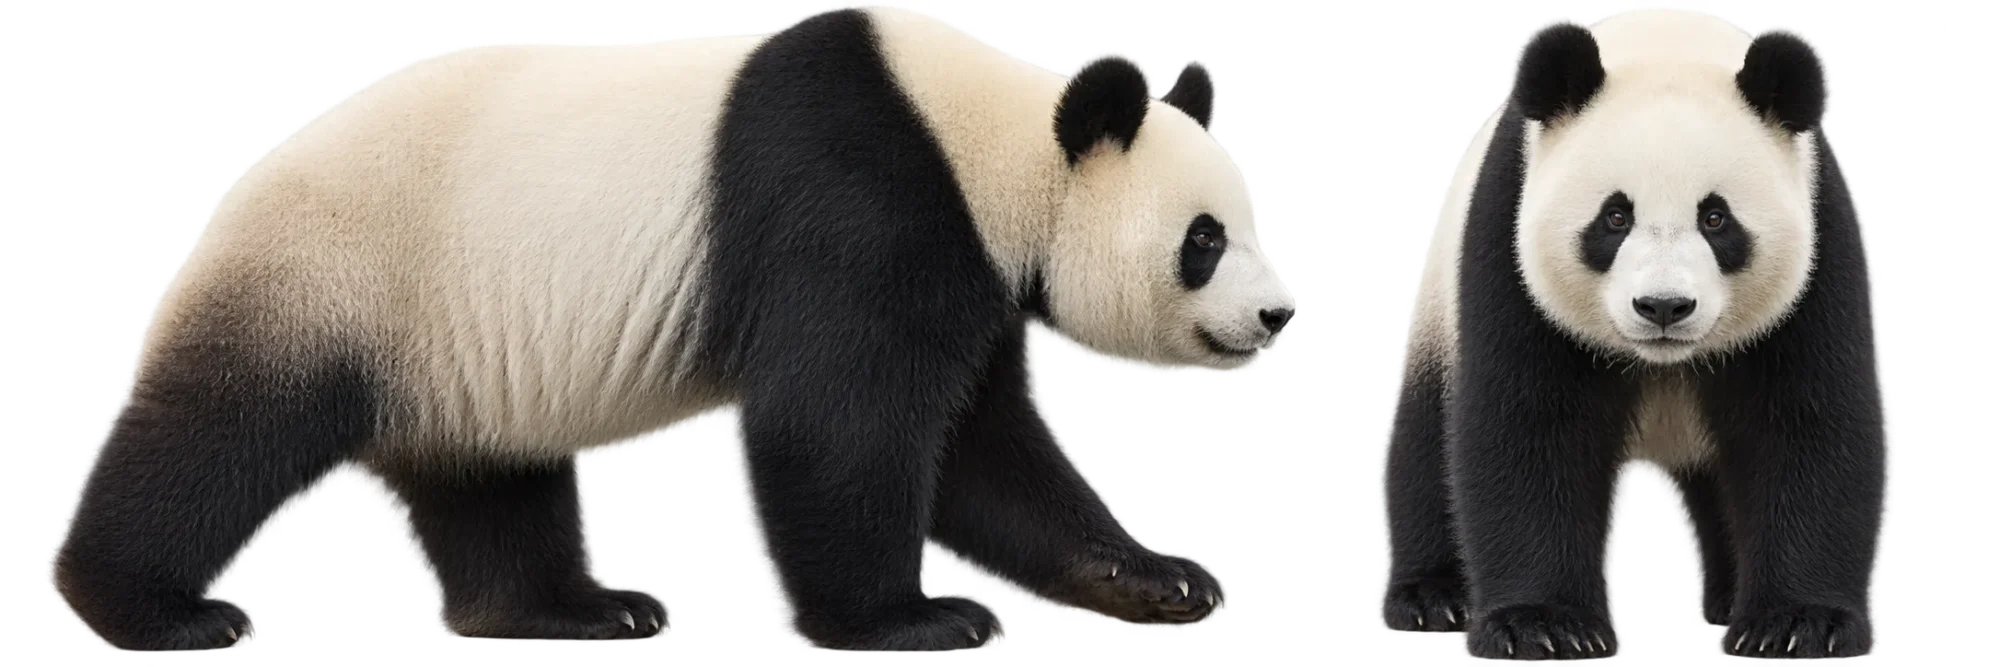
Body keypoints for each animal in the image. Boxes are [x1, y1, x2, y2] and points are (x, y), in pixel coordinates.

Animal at [46, 1, 1297, 654]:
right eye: (1201, 240)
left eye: (1253, 222)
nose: (1277, 314)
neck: (984, 135)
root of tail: (231, 193)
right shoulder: (860, 201)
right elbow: (835, 429)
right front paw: (912, 618)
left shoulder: (971, 274)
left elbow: (989, 457)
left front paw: (1157, 579)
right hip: (342, 270)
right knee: (218, 434)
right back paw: (155, 608)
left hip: (451, 341)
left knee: (487, 482)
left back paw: (575, 608)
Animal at [1377, 7, 1889, 662]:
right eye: (1615, 217)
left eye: (1715, 218)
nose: (1663, 307)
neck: (1665, 38)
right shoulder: (1507, 242)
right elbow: (1527, 425)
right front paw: (1544, 627)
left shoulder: (1819, 249)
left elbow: (1808, 423)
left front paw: (1798, 623)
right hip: (1439, 303)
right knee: (1424, 441)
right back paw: (1432, 598)